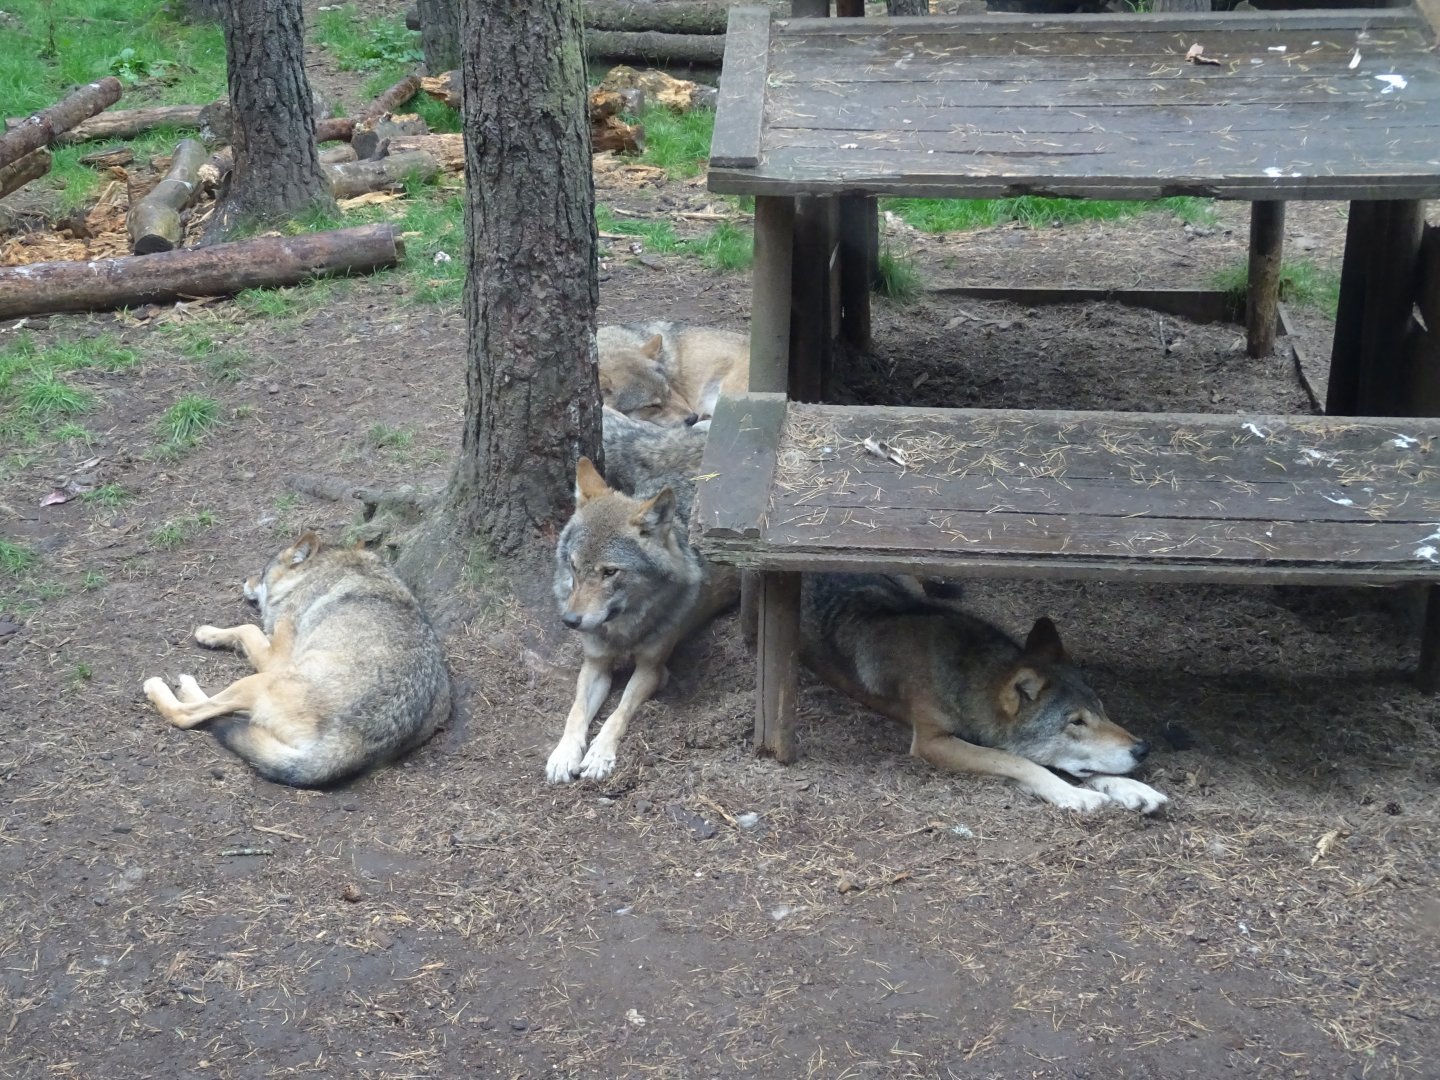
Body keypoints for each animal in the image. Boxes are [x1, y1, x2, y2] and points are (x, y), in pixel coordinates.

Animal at [143, 533, 451, 787]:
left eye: (262, 572)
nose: (245, 580)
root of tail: (354, 742)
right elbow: (246, 632)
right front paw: (212, 635)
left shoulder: (277, 658)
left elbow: (247, 628)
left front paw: (208, 632)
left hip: (259, 681)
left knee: (188, 715)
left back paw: (164, 687)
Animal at [547, 420, 738, 782]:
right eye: (575, 567)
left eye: (610, 572)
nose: (570, 621)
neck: (622, 628)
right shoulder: (595, 664)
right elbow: (575, 713)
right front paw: (564, 755)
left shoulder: (653, 669)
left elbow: (618, 712)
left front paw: (598, 756)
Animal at [801, 574, 1168, 813]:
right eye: (1075, 722)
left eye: (1102, 709)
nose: (1143, 749)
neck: (965, 672)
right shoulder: (932, 741)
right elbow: (1016, 760)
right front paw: (1074, 795)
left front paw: (1133, 788)